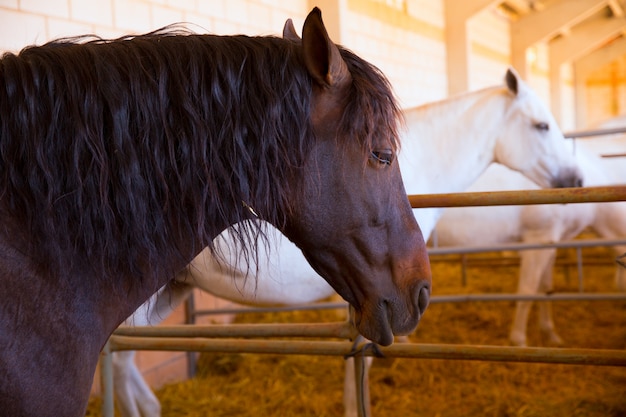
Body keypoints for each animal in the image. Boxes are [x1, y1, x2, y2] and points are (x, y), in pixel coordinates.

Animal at [432, 135, 624, 346]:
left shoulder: (551, 242)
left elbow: (546, 288)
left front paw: (550, 333)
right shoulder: (537, 239)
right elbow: (528, 290)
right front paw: (519, 340)